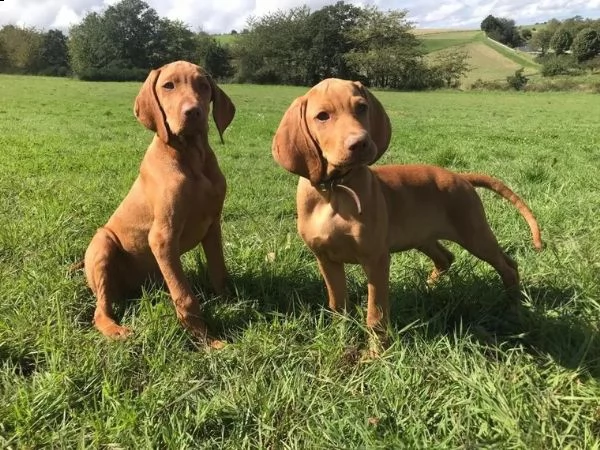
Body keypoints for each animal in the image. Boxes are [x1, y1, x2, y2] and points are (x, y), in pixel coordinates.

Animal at [81, 60, 234, 344]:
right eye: (168, 86)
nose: (193, 112)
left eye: (203, 86)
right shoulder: (163, 236)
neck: (191, 156)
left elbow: (219, 272)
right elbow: (185, 297)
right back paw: (117, 330)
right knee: (100, 310)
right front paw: (205, 340)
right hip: (103, 243)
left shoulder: (213, 226)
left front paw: (231, 301)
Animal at [272, 77, 544, 340]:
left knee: (508, 266)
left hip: (474, 234)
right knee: (446, 258)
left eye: (362, 107)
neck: (334, 190)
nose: (360, 143)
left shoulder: (376, 259)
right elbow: (338, 305)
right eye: (322, 116)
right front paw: (341, 337)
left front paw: (376, 351)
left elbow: (376, 316)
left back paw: (514, 309)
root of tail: (460, 176)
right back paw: (429, 288)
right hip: (422, 236)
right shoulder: (326, 258)